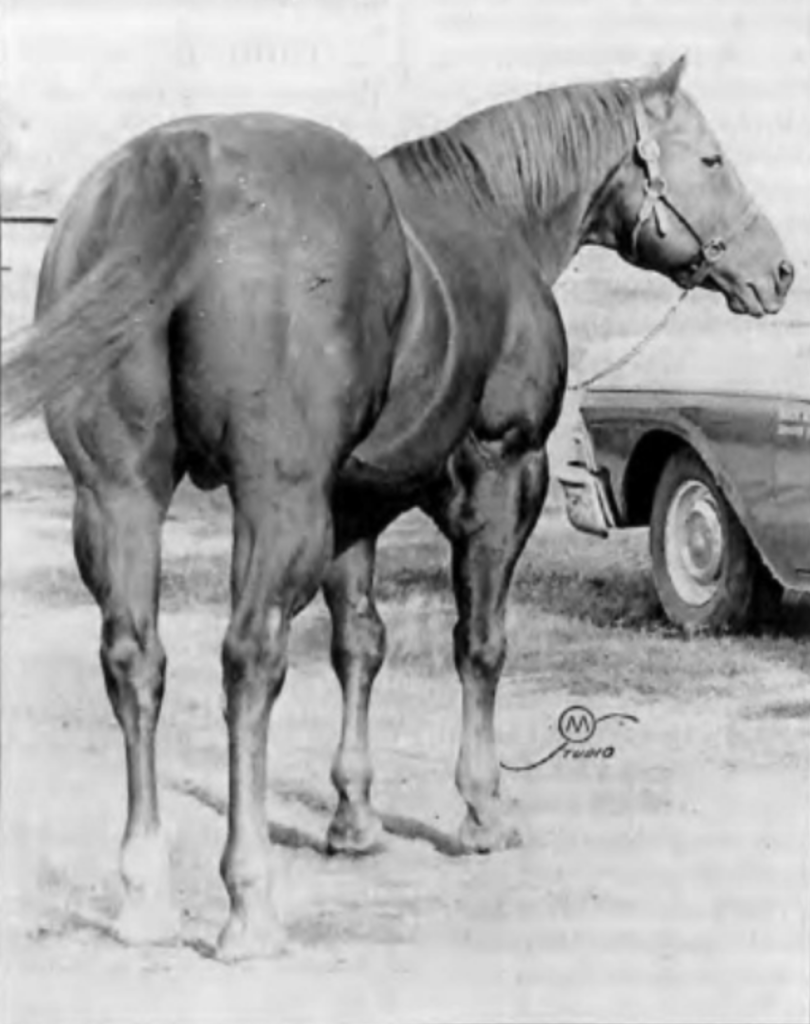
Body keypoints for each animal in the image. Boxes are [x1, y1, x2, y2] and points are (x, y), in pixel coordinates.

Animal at [2, 56, 793, 960]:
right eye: (710, 159)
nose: (777, 271)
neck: (496, 217)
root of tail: (175, 173)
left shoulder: (353, 508)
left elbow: (359, 646)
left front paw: (353, 818)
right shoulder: (500, 473)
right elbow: (479, 644)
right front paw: (483, 810)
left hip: (119, 494)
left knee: (135, 659)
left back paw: (144, 896)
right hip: (276, 502)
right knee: (250, 660)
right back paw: (250, 901)